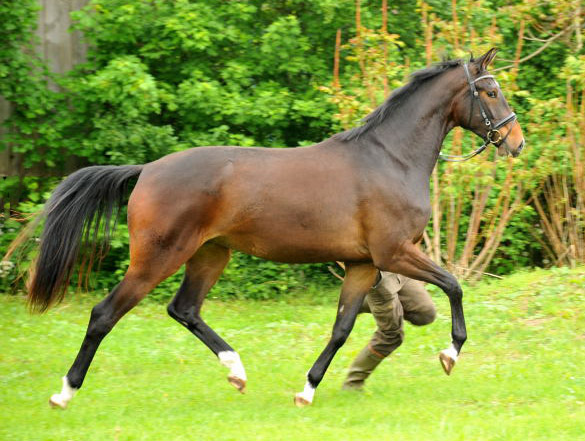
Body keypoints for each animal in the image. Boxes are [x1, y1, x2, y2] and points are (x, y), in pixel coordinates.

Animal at [24, 47, 524, 406]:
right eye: (491, 91)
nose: (515, 142)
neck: (390, 159)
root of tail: (147, 170)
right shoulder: (394, 252)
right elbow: (455, 285)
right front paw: (449, 354)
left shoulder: (363, 264)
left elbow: (341, 328)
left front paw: (307, 390)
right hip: (158, 257)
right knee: (104, 314)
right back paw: (64, 393)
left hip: (211, 253)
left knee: (184, 309)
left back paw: (237, 372)